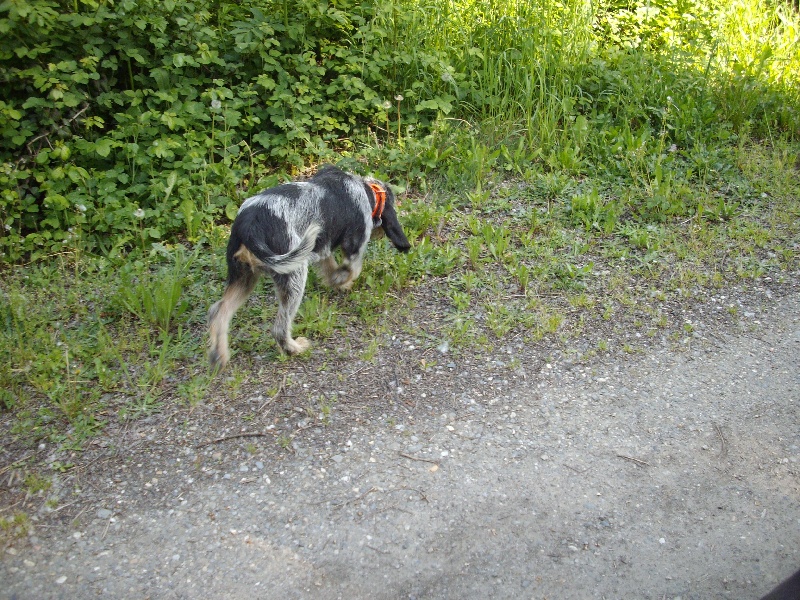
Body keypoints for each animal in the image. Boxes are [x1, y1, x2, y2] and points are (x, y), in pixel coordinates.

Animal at [208, 165, 412, 370]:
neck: (367, 190)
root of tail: (249, 226)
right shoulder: (354, 244)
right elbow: (351, 269)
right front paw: (341, 279)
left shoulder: (322, 247)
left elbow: (330, 267)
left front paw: (338, 282)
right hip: (294, 276)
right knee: (279, 328)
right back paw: (295, 348)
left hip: (244, 276)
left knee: (219, 311)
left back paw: (219, 356)